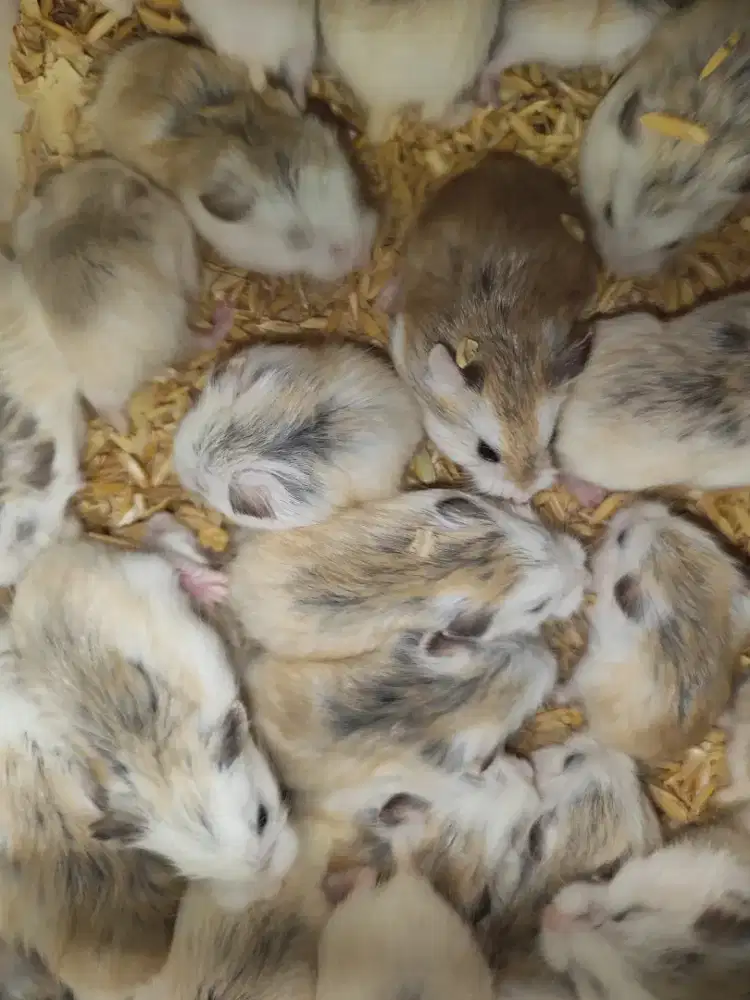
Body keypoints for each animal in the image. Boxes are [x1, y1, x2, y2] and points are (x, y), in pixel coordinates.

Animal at [5, 535, 296, 908]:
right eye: (191, 871)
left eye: (263, 817)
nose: (271, 886)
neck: (167, 772)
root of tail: (54, 554)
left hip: (145, 569)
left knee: (168, 557)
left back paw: (214, 587)